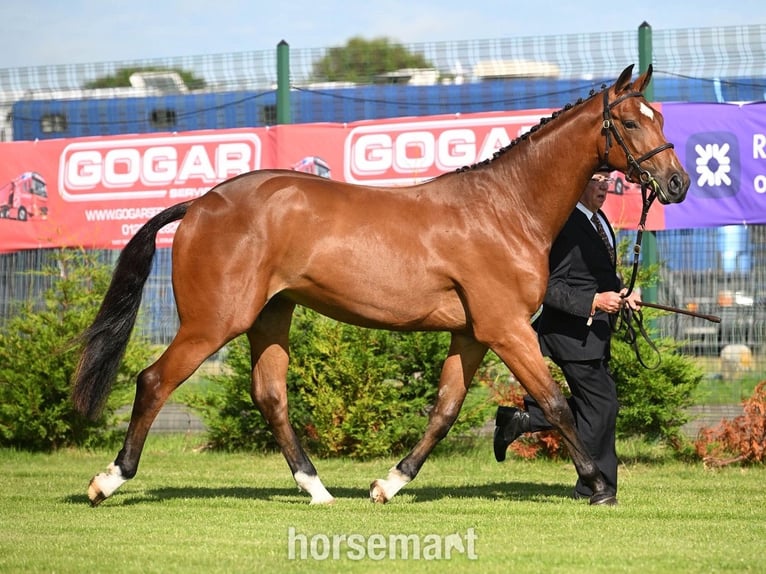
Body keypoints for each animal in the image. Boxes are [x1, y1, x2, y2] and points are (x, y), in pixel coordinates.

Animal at [72, 64, 689, 507]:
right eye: (631, 122)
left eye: (659, 116)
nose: (677, 182)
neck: (505, 208)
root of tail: (202, 203)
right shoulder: (507, 328)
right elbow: (557, 403)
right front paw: (600, 485)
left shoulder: (472, 334)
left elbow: (445, 410)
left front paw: (388, 484)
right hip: (214, 321)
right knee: (155, 381)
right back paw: (108, 480)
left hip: (271, 315)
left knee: (271, 396)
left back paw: (317, 489)